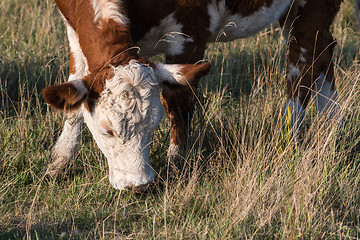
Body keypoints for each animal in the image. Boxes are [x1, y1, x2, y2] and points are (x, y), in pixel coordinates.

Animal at [42, 0, 358, 191]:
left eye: (154, 125)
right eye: (107, 130)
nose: (139, 185)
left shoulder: (190, 31)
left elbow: (180, 103)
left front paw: (176, 162)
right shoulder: (74, 32)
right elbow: (73, 98)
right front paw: (59, 163)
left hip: (311, 7)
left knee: (303, 65)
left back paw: (290, 133)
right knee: (323, 51)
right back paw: (333, 126)